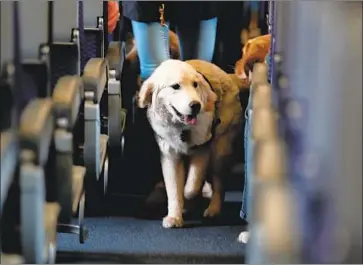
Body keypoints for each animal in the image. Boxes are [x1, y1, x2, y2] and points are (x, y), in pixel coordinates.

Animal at [138, 59, 249, 227]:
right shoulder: (170, 156)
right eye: (175, 86)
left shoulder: (202, 150)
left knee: (219, 183)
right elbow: (174, 189)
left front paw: (188, 199)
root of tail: (227, 76)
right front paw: (174, 217)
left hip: (220, 151)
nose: (196, 105)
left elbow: (191, 186)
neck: (182, 128)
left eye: (195, 84)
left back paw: (213, 209)